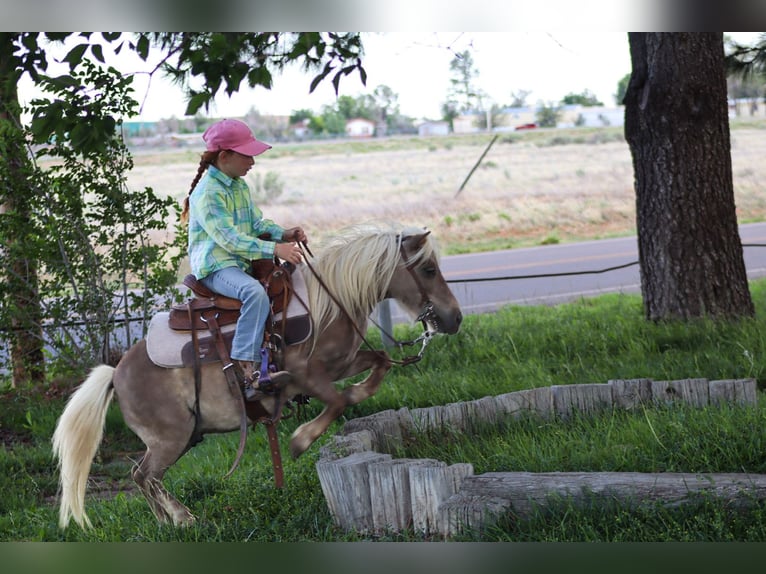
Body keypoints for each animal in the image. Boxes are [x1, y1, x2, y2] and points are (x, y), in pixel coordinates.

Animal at [51, 223, 463, 529]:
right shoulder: (305, 374)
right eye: (428, 270)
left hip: (184, 437)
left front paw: (356, 394)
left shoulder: (342, 363)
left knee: (143, 475)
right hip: (171, 438)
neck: (328, 302)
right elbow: (336, 401)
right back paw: (183, 518)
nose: (455, 318)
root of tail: (117, 371)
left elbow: (378, 364)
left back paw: (167, 521)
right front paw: (300, 441)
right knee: (145, 475)